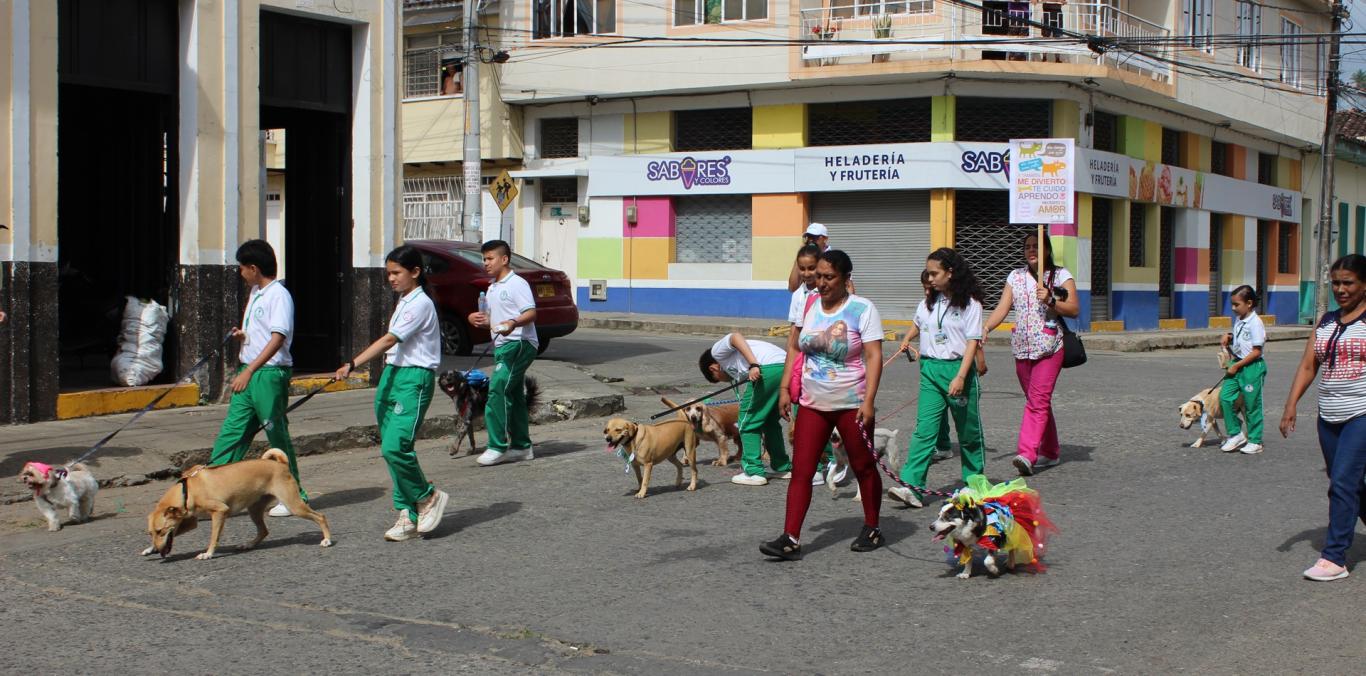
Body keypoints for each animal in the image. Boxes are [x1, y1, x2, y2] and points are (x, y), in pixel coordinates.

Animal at [142, 450, 336, 559]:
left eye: (161, 531)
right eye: (152, 533)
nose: (158, 551)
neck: (186, 490)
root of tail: (280, 464)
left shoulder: (220, 511)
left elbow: (214, 537)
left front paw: (208, 554)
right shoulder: (190, 521)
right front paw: (149, 549)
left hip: (293, 504)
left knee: (320, 516)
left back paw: (327, 540)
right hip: (254, 509)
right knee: (264, 530)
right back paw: (248, 545)